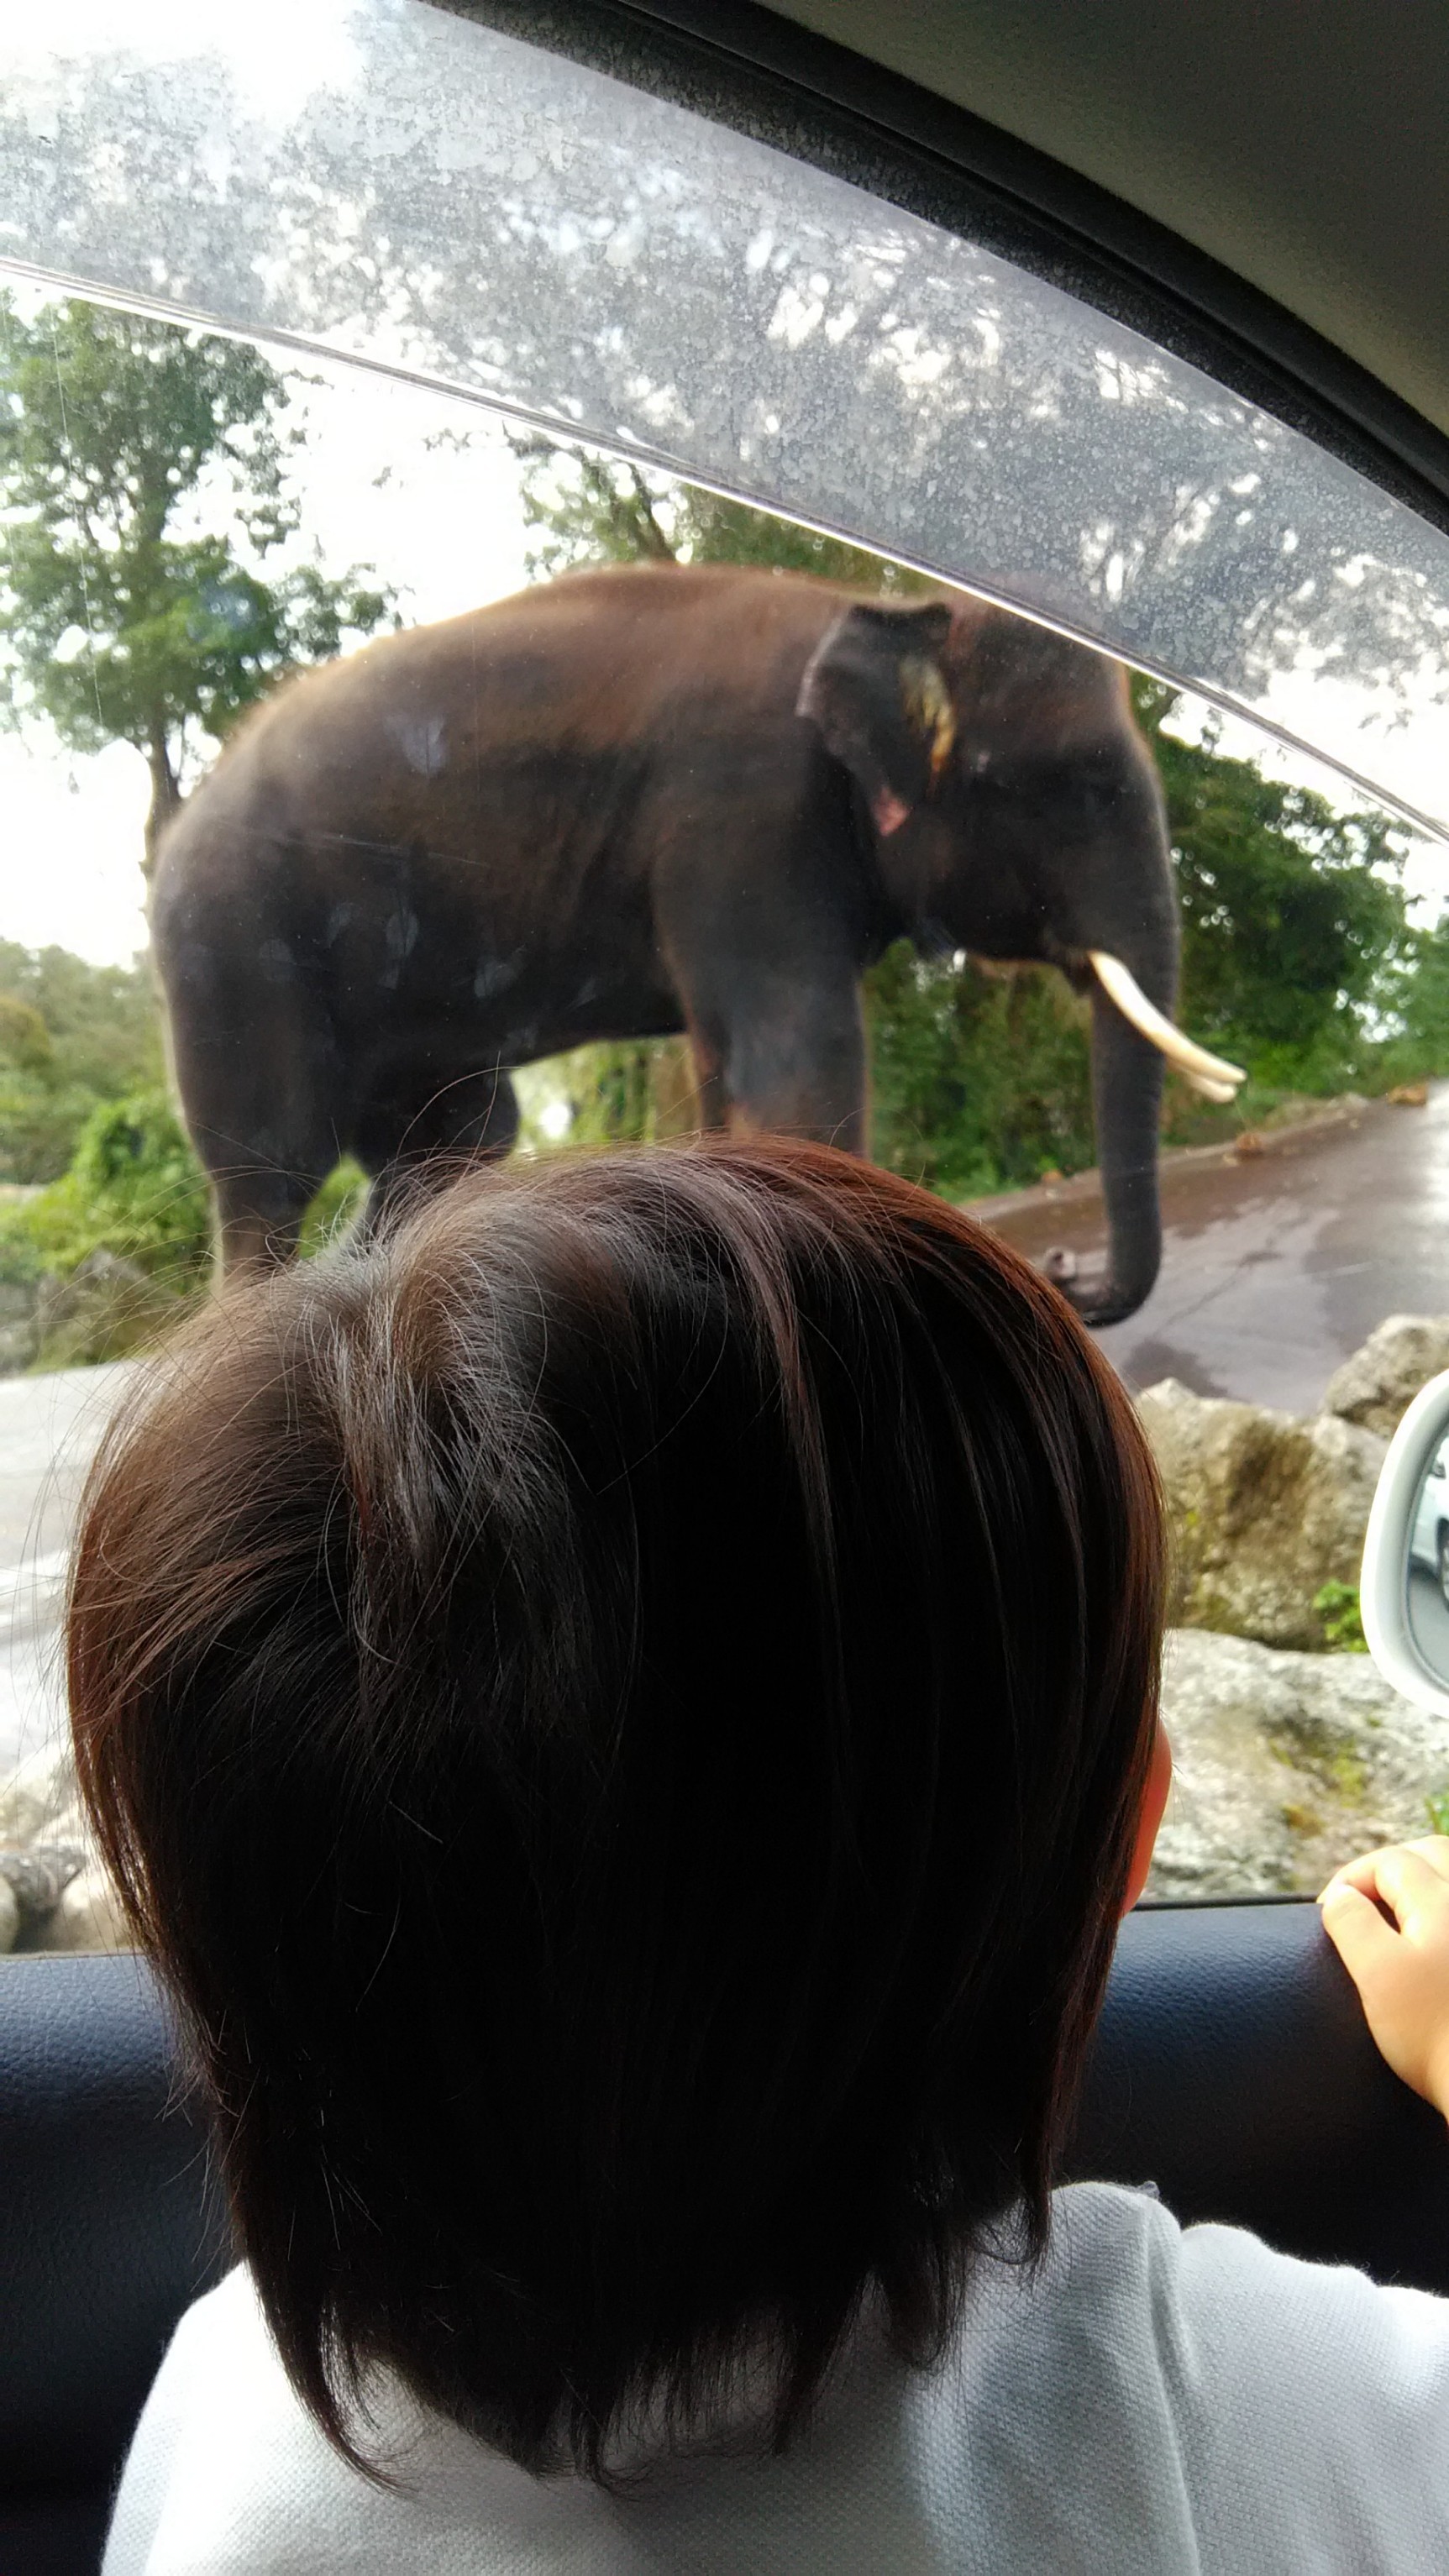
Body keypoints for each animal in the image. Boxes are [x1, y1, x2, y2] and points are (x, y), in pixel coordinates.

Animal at [150, 566, 1242, 1329]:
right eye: (1083, 786)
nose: (1067, 1271)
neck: (882, 608)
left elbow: (735, 1070)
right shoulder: (741, 809)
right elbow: (802, 1057)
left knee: (458, 1136)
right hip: (237, 946)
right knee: (273, 1166)